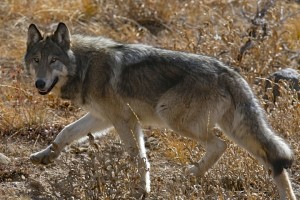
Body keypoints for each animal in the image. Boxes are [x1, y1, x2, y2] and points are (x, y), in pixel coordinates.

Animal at [24, 22, 296, 199]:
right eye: (36, 60)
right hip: (236, 131)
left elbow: (139, 158)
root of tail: (228, 72)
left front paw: (142, 190)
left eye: (53, 61)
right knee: (273, 160)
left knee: (220, 146)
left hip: (174, 118)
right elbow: (66, 132)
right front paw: (45, 156)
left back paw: (192, 172)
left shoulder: (124, 121)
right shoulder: (102, 118)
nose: (39, 83)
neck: (85, 66)